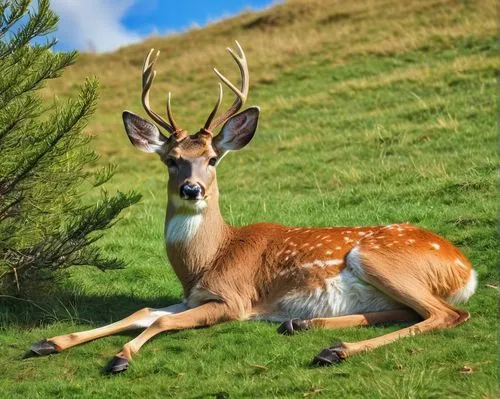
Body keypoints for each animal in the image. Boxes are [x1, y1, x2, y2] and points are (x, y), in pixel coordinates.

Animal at [27, 41, 476, 376]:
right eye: (170, 159)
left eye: (212, 158)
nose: (191, 189)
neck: (206, 261)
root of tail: (466, 270)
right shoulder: (194, 296)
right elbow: (142, 311)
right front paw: (47, 342)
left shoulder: (233, 298)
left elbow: (160, 320)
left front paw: (120, 358)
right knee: (409, 312)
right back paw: (302, 325)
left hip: (380, 259)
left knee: (448, 314)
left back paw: (335, 349)